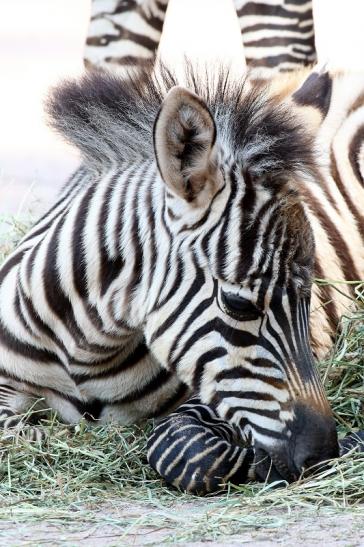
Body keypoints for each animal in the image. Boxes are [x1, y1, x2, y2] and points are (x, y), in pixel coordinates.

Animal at [0, 65, 364, 496]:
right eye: (238, 304)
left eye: (309, 298)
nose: (322, 455)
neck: (84, 349)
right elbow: (16, 435)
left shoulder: (205, 389)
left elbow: (182, 444)